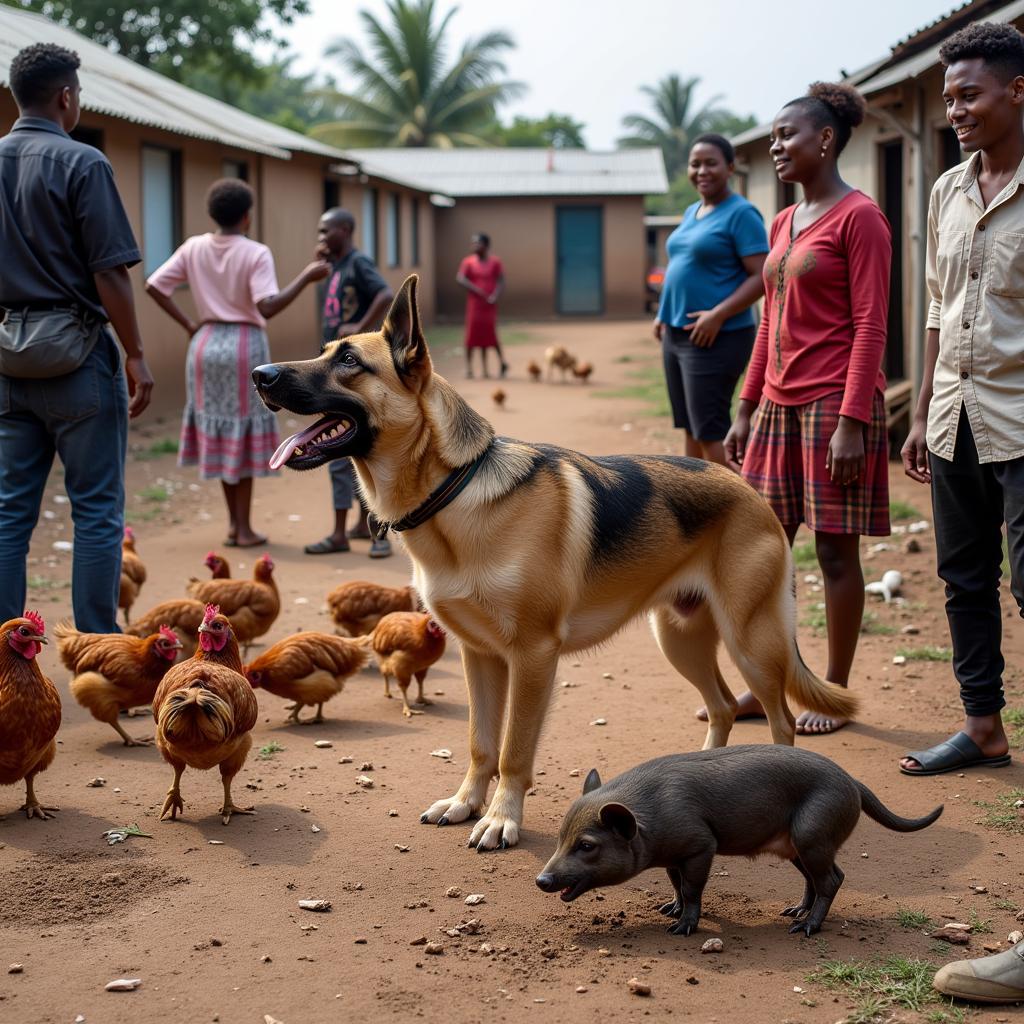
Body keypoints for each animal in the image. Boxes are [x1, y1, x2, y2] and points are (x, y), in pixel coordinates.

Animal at [253, 276, 856, 851]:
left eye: (350, 361)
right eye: (325, 350)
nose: (260, 375)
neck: (454, 488)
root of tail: (750, 490)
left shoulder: (533, 657)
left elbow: (513, 751)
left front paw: (500, 820)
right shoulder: (479, 656)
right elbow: (480, 743)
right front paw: (465, 803)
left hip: (750, 641)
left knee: (780, 721)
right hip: (679, 638)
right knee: (726, 706)